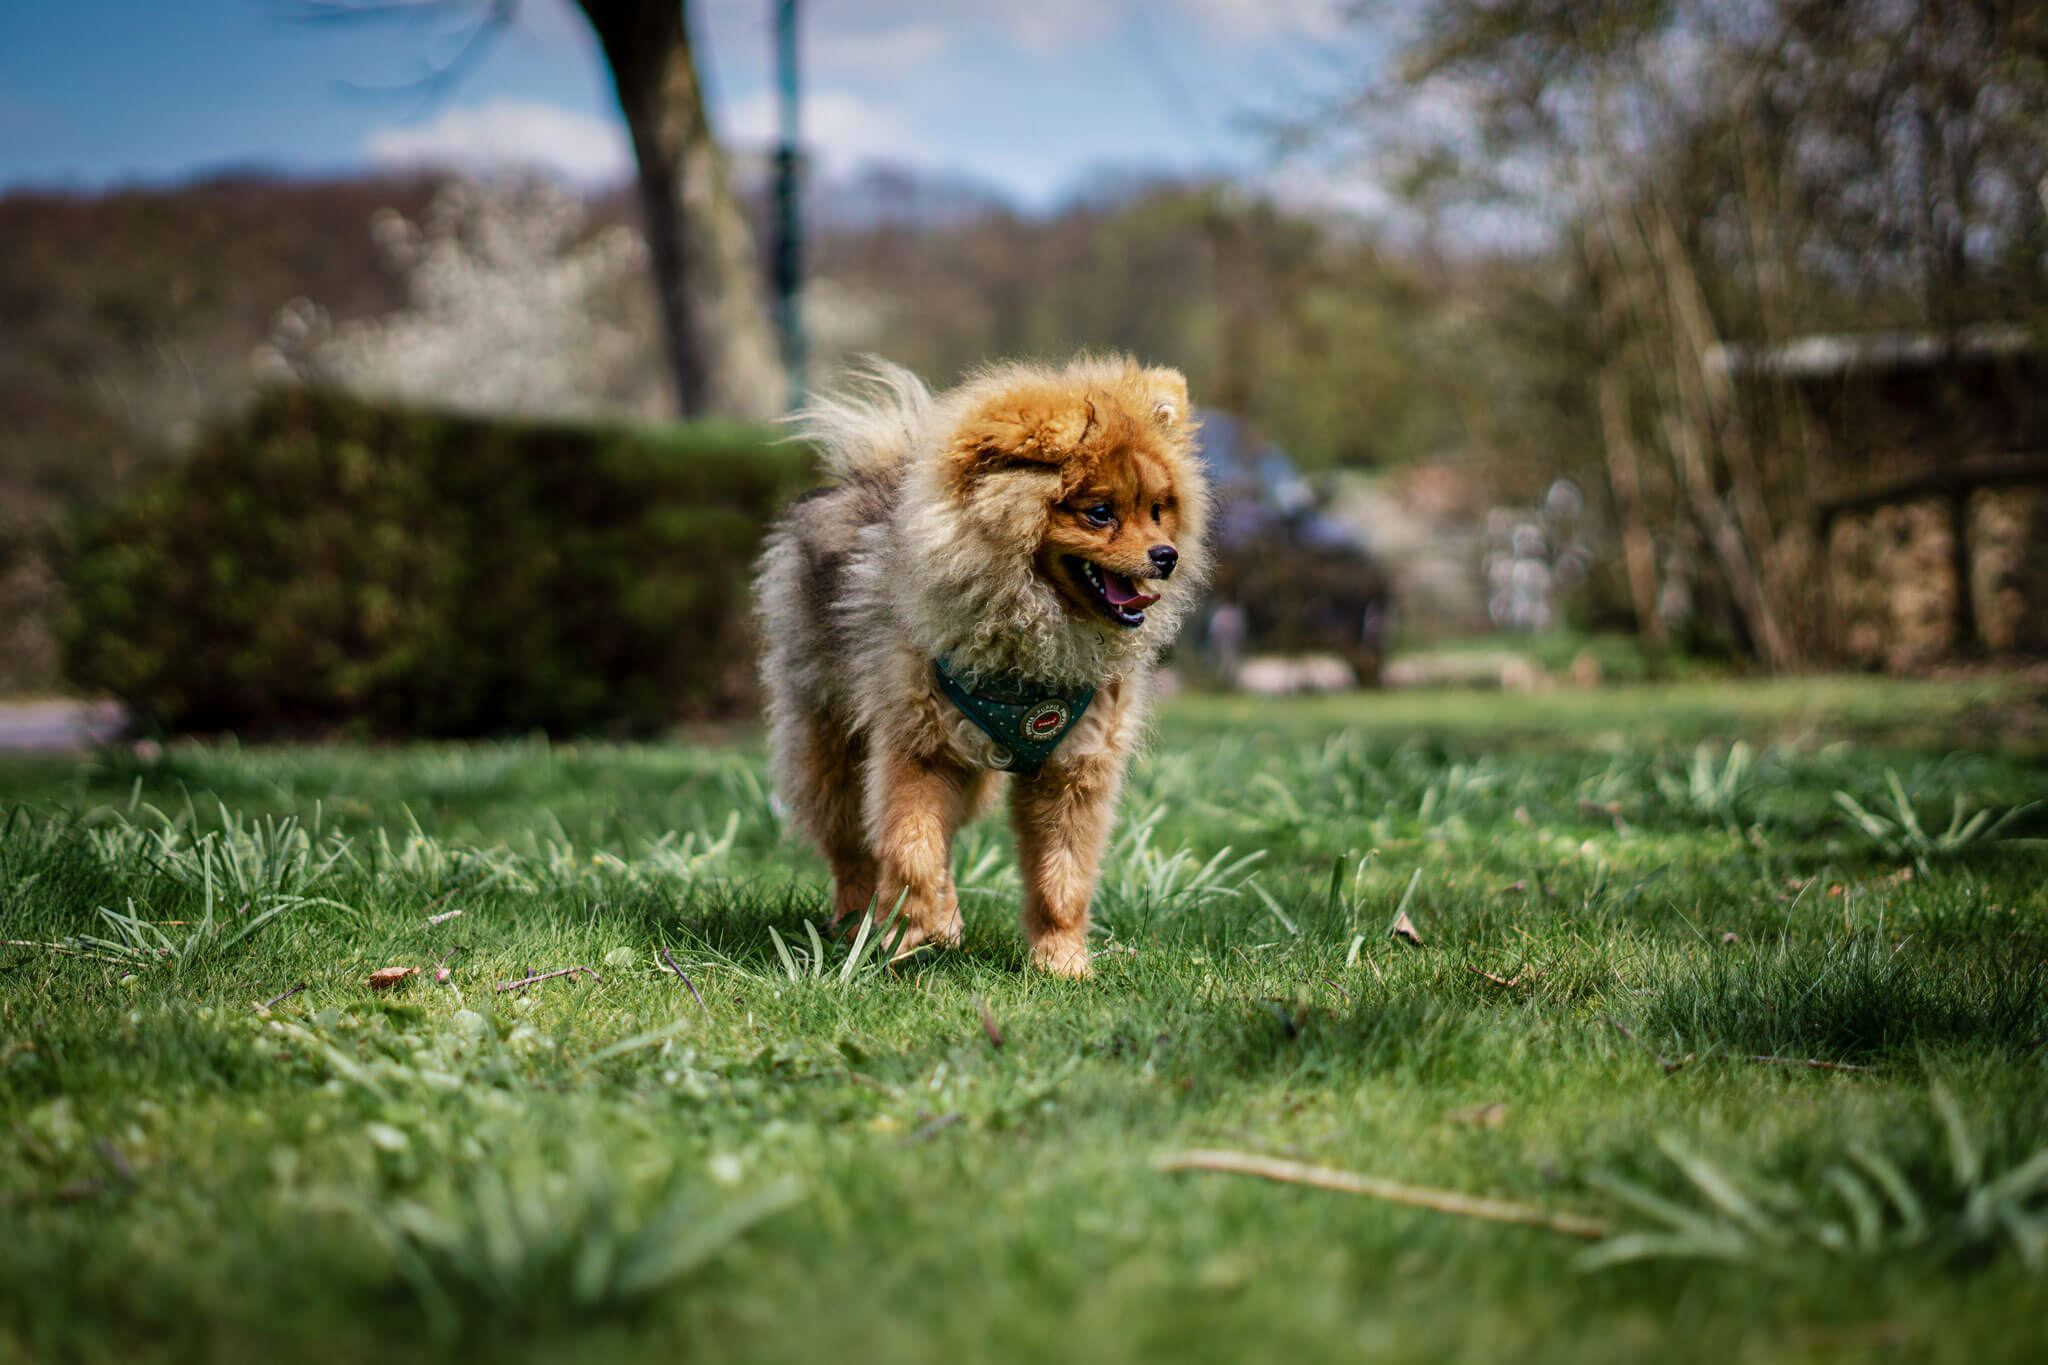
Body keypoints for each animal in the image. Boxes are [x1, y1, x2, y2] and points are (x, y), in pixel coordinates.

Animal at [757, 351, 1204, 970]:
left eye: (1158, 510)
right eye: (1100, 512)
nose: (1166, 556)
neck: (1031, 624)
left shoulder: (1073, 768)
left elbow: (1062, 879)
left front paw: (1062, 965)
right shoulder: (920, 747)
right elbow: (912, 848)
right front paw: (902, 938)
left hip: (971, 770)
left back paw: (942, 924)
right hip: (832, 742)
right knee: (851, 846)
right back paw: (854, 926)